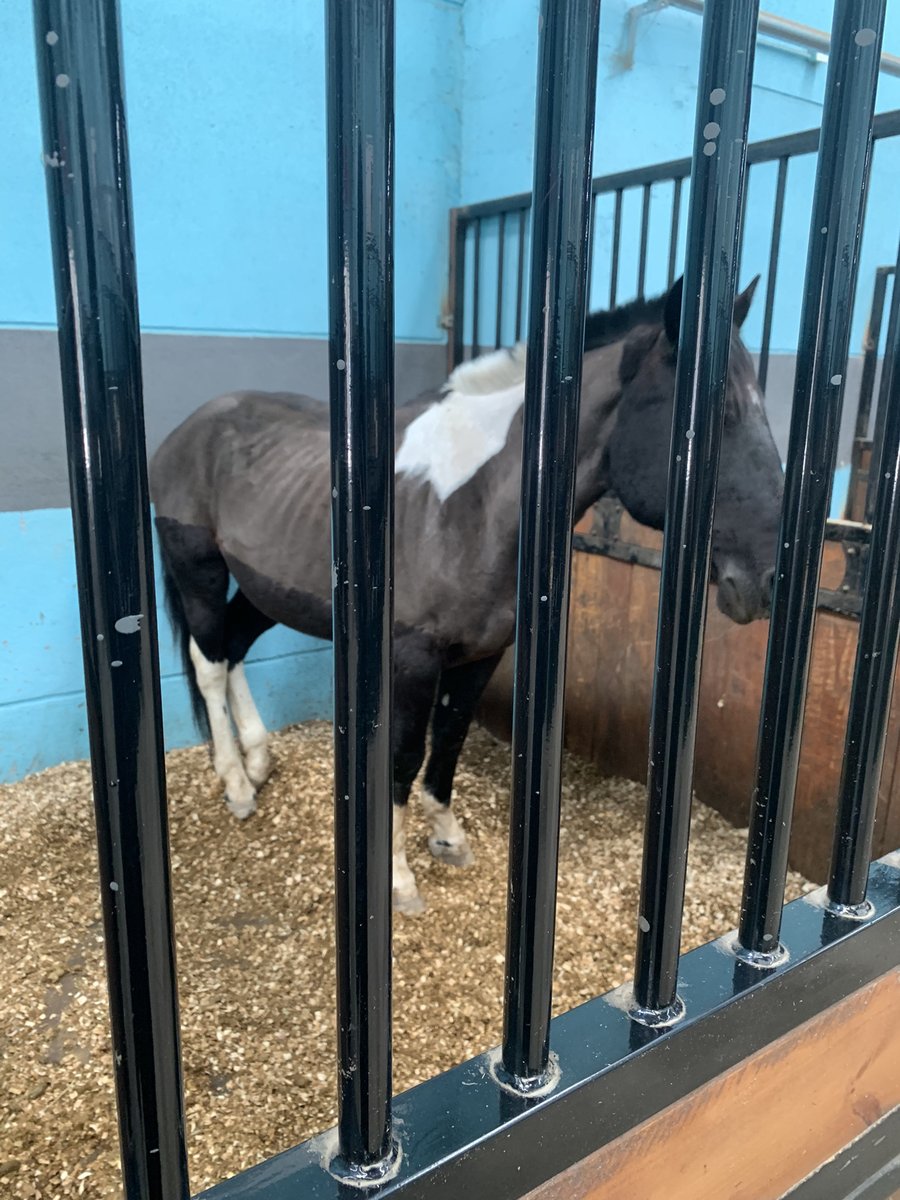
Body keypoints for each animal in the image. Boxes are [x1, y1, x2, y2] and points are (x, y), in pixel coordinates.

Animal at [150, 275, 783, 914]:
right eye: (719, 418)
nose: (769, 579)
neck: (472, 505)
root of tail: (192, 428)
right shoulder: (412, 661)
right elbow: (403, 757)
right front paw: (400, 881)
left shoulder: (480, 657)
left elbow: (448, 741)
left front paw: (448, 838)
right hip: (199, 569)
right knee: (209, 662)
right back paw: (236, 785)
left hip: (265, 592)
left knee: (232, 648)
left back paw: (257, 760)